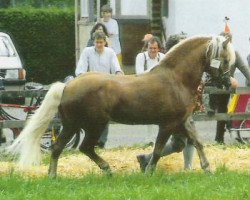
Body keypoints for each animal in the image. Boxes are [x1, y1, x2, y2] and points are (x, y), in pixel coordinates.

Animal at [7, 35, 234, 177]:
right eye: (224, 59)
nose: (228, 83)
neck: (175, 78)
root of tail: (68, 85)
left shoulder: (183, 121)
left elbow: (197, 142)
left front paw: (208, 169)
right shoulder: (167, 124)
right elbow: (158, 149)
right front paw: (148, 172)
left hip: (73, 126)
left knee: (58, 147)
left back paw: (55, 175)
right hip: (93, 125)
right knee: (83, 147)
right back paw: (105, 169)